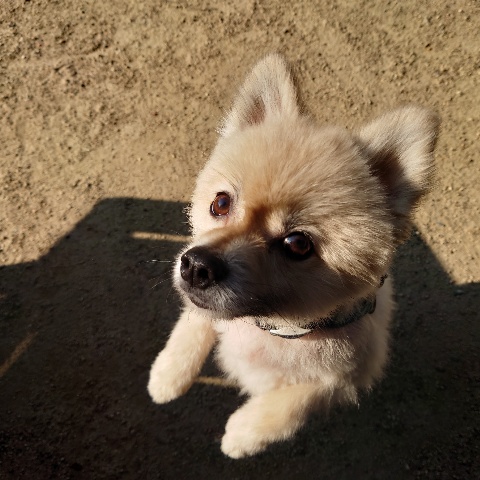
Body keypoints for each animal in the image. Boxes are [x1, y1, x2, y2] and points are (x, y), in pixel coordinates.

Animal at [148, 54, 439, 458]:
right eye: (220, 203)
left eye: (297, 244)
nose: (197, 266)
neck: (275, 327)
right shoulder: (203, 304)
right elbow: (192, 323)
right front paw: (168, 375)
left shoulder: (352, 375)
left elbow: (301, 398)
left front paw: (244, 433)